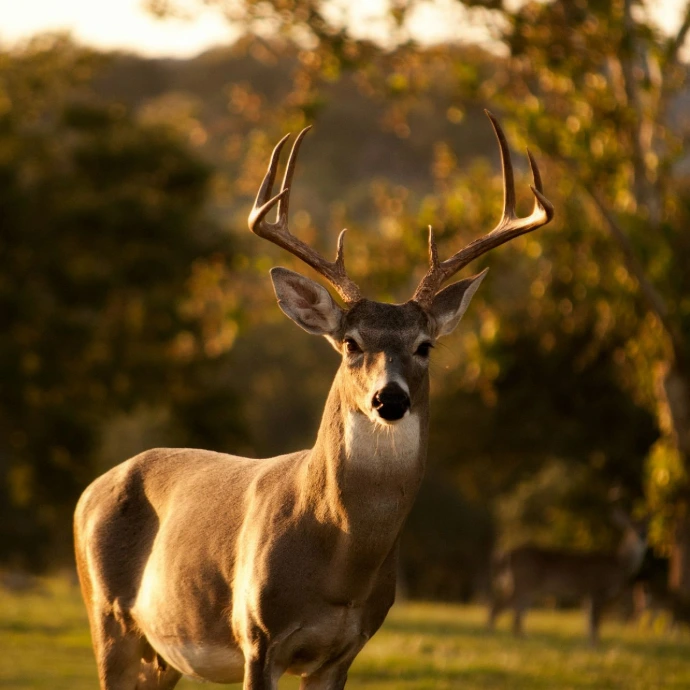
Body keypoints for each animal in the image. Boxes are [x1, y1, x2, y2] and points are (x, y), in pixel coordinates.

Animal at [73, 111, 553, 690]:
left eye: (425, 345)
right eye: (351, 343)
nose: (389, 398)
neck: (339, 564)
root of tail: (88, 492)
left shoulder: (345, 650)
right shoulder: (257, 637)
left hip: (161, 655)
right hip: (106, 618)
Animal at [487, 510, 648, 645]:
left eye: (646, 525)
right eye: (631, 527)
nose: (642, 535)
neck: (619, 564)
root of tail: (506, 555)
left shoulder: (587, 594)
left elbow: (588, 620)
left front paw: (589, 644)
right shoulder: (596, 590)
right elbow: (594, 621)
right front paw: (595, 645)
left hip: (525, 587)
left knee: (517, 611)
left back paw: (521, 637)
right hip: (524, 583)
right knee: (501, 606)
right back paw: (493, 634)